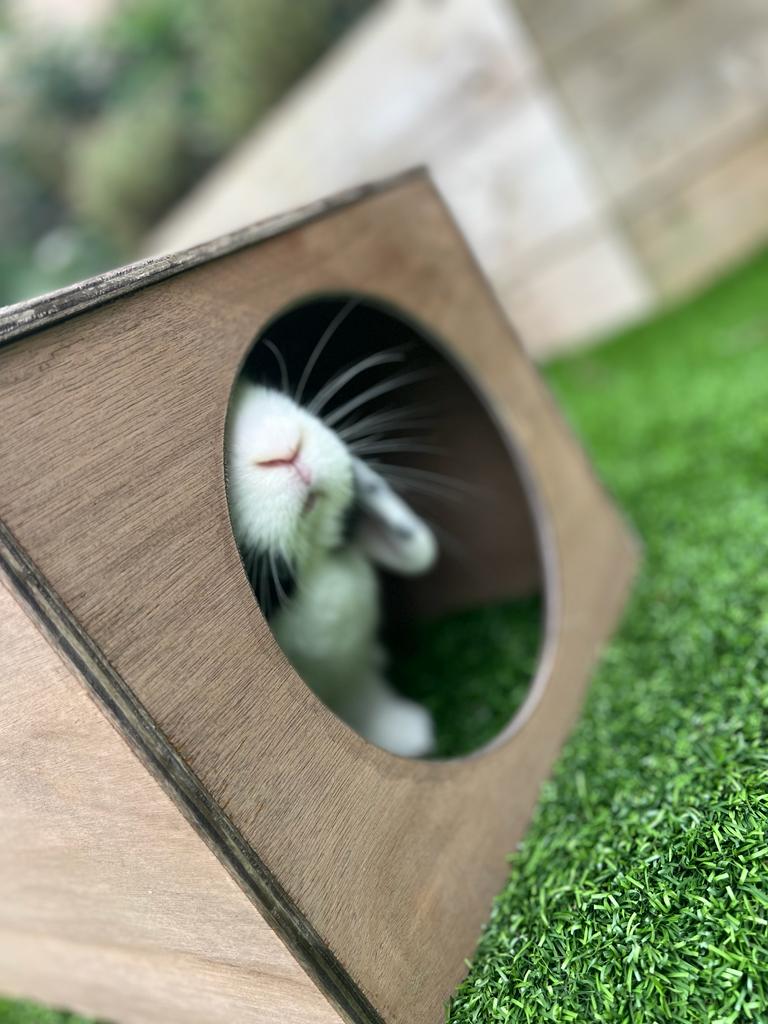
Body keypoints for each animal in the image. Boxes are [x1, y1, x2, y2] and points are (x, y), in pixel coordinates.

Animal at [225, 378, 438, 757]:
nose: (285, 449)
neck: (314, 566)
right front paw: (414, 735)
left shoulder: (352, 672)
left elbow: (369, 697)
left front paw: (411, 734)